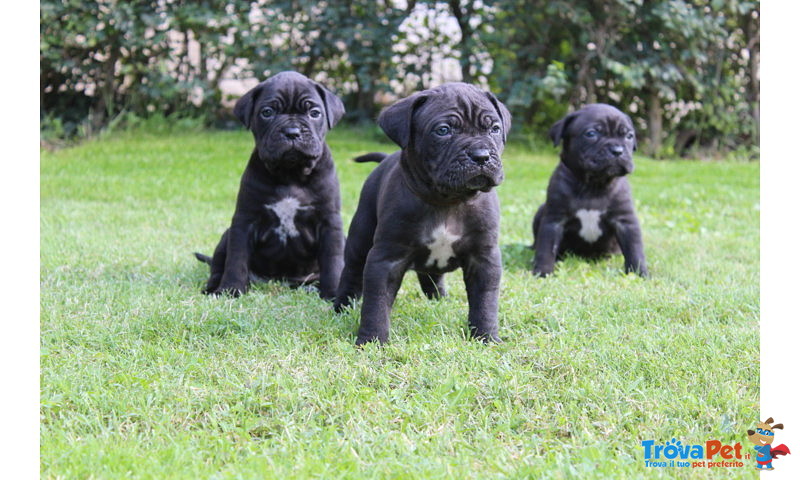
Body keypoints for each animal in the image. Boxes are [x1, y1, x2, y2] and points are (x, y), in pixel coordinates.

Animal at [195, 71, 346, 298]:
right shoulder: (244, 221)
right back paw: (213, 287)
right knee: (218, 265)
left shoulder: (330, 222)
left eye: (314, 113)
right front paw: (232, 289)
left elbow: (333, 260)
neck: (290, 174)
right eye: (267, 112)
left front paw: (333, 293)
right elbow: (236, 260)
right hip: (226, 236)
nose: (292, 131)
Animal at [334, 82, 510, 344]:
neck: (448, 200)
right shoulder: (386, 258)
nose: (481, 155)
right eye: (443, 130)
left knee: (431, 274)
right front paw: (372, 340)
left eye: (495, 129)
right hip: (360, 236)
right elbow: (376, 303)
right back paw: (341, 306)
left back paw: (438, 298)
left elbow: (485, 301)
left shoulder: (484, 257)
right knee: (352, 270)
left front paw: (486, 337)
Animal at [532, 105, 648, 278]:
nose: (617, 150)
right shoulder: (554, 219)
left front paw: (640, 274)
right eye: (591, 133)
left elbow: (634, 249)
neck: (593, 185)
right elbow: (546, 248)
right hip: (541, 211)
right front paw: (543, 272)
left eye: (629, 136)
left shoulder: (626, 221)